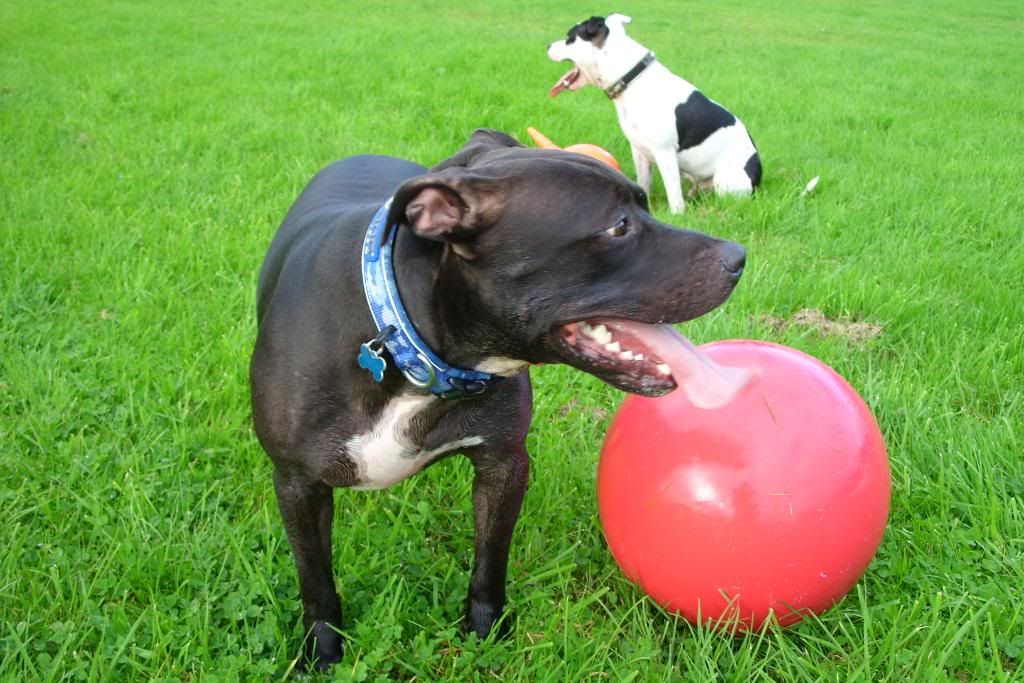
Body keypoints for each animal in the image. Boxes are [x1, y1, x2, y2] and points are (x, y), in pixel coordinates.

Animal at [247, 129, 745, 671]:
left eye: (645, 205)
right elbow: (315, 580)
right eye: (618, 226)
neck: (407, 345)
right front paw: (322, 652)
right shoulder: (297, 484)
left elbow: (490, 561)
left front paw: (485, 635)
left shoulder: (504, 465)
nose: (738, 257)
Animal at [552, 15, 761, 214]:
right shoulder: (639, 151)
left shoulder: (665, 153)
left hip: (727, 179)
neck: (630, 78)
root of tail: (759, 174)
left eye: (569, 38)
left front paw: (677, 215)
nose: (548, 46)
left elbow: (673, 192)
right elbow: (643, 182)